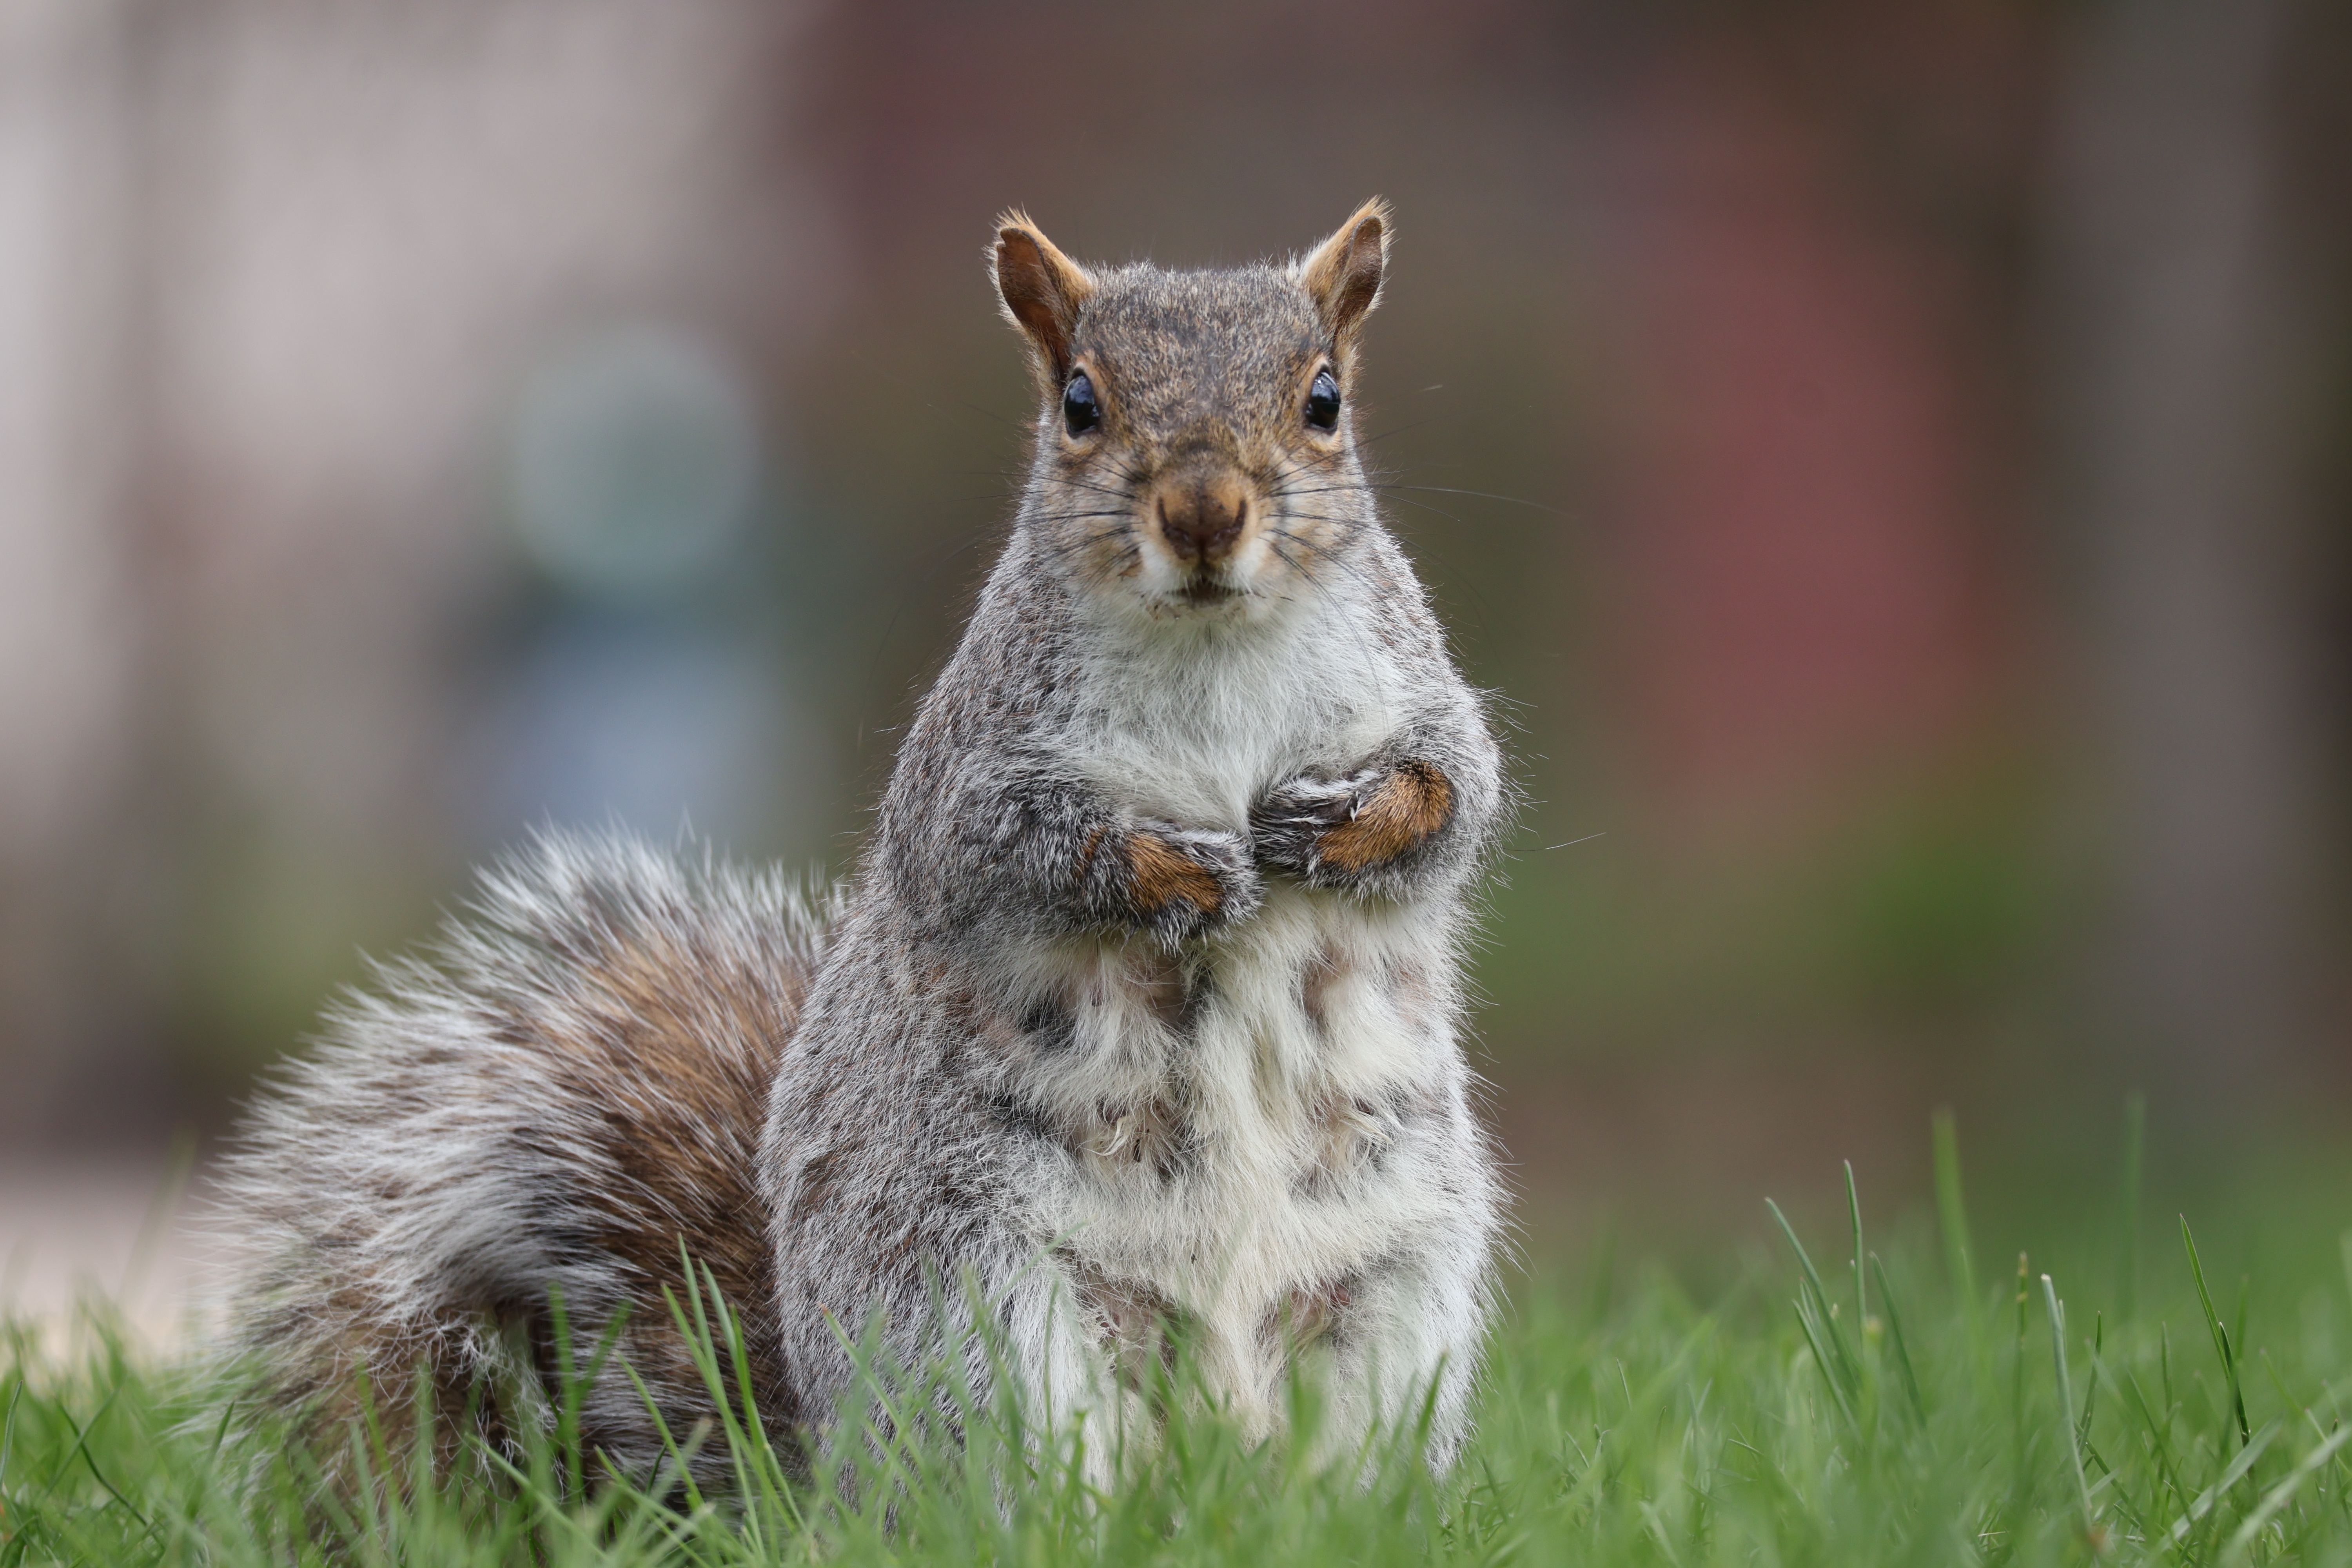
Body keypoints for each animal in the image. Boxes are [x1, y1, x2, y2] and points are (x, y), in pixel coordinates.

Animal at [212, 200, 1510, 1487]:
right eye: (1079, 404)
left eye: (1324, 400)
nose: (1203, 515)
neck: (1215, 647)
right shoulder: (968, 775)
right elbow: (1017, 856)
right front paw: (1182, 872)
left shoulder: (1423, 697)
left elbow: (1458, 796)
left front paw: (1347, 827)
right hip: (985, 1323)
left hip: (1398, 1308)